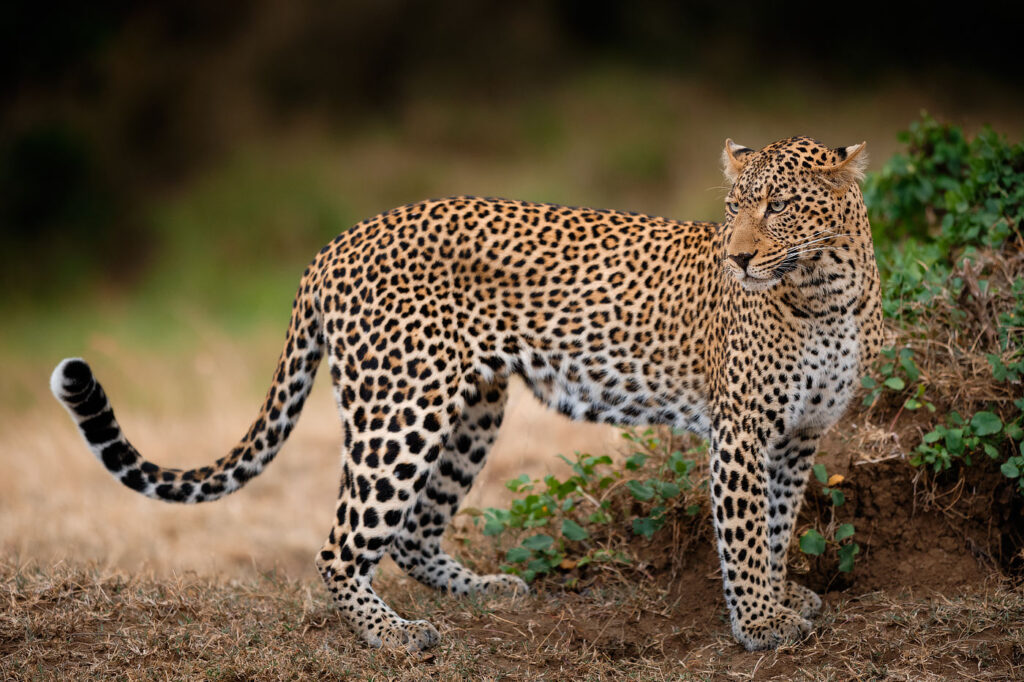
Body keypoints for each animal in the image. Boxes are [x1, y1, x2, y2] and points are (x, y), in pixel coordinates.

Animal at [51, 136, 882, 652]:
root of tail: (335, 244)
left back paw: (484, 592)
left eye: (779, 206)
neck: (826, 293)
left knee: (414, 530)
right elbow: (742, 536)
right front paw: (760, 625)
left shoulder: (799, 436)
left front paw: (781, 599)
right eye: (735, 206)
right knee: (341, 544)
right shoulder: (741, 431)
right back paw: (392, 636)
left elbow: (776, 526)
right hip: (402, 407)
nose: (737, 256)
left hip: (472, 404)